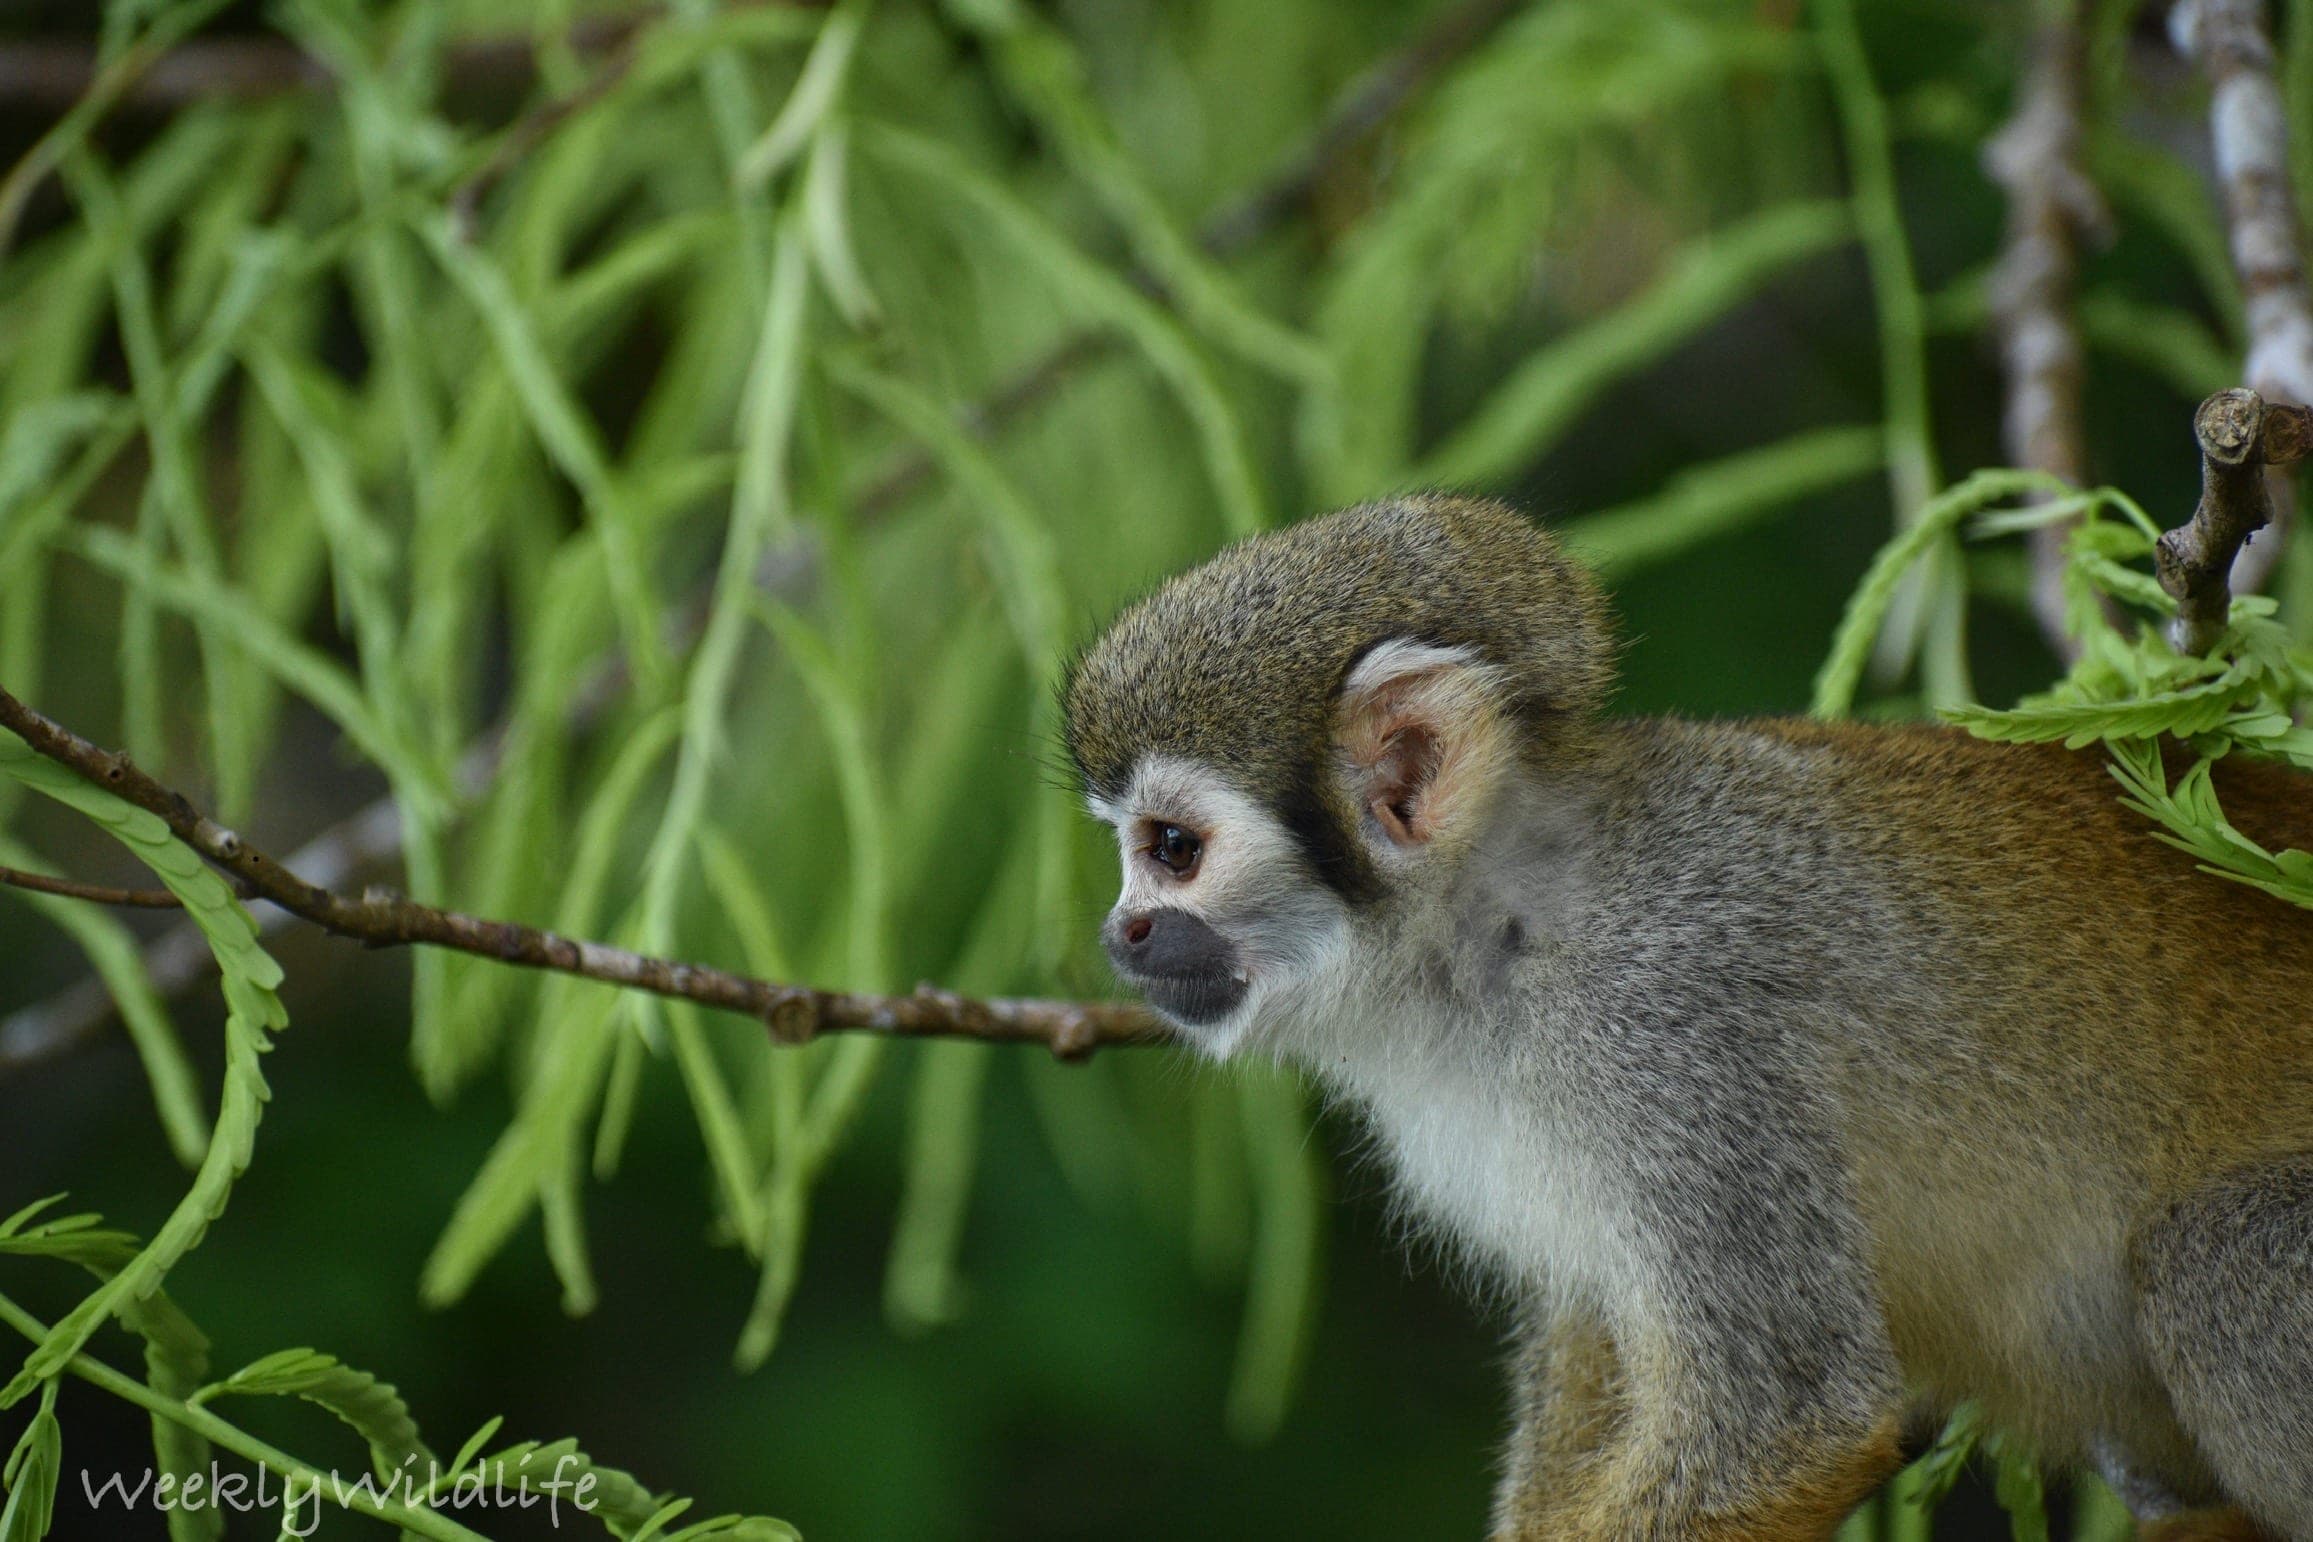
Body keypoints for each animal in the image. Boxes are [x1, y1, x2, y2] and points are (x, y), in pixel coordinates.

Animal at [1060, 494, 2313, 1542]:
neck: (1501, 936)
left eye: (1172, 849)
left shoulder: (1678, 1027)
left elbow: (1786, 1418)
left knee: (2210, 1262)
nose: (1121, 931)